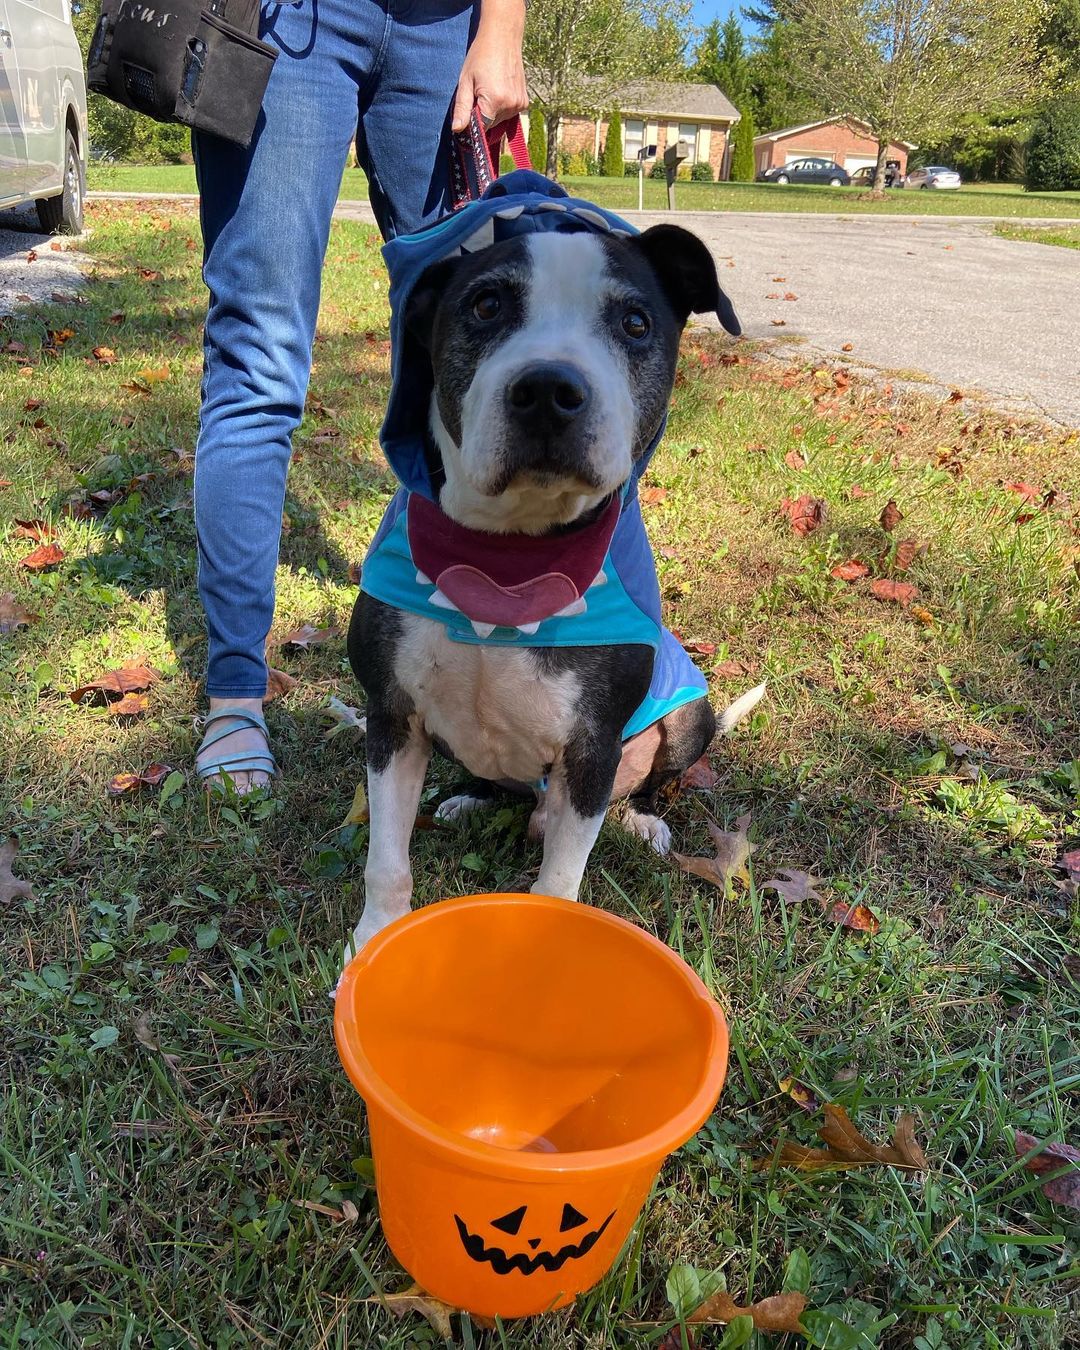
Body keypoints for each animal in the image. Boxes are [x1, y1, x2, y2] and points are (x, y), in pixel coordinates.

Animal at [344, 221, 761, 955]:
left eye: (634, 322)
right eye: (485, 306)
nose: (547, 389)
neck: (510, 557)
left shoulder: (592, 748)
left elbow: (560, 880)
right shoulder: (392, 716)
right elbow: (386, 860)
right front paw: (373, 940)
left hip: (689, 716)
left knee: (657, 780)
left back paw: (645, 819)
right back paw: (472, 798)